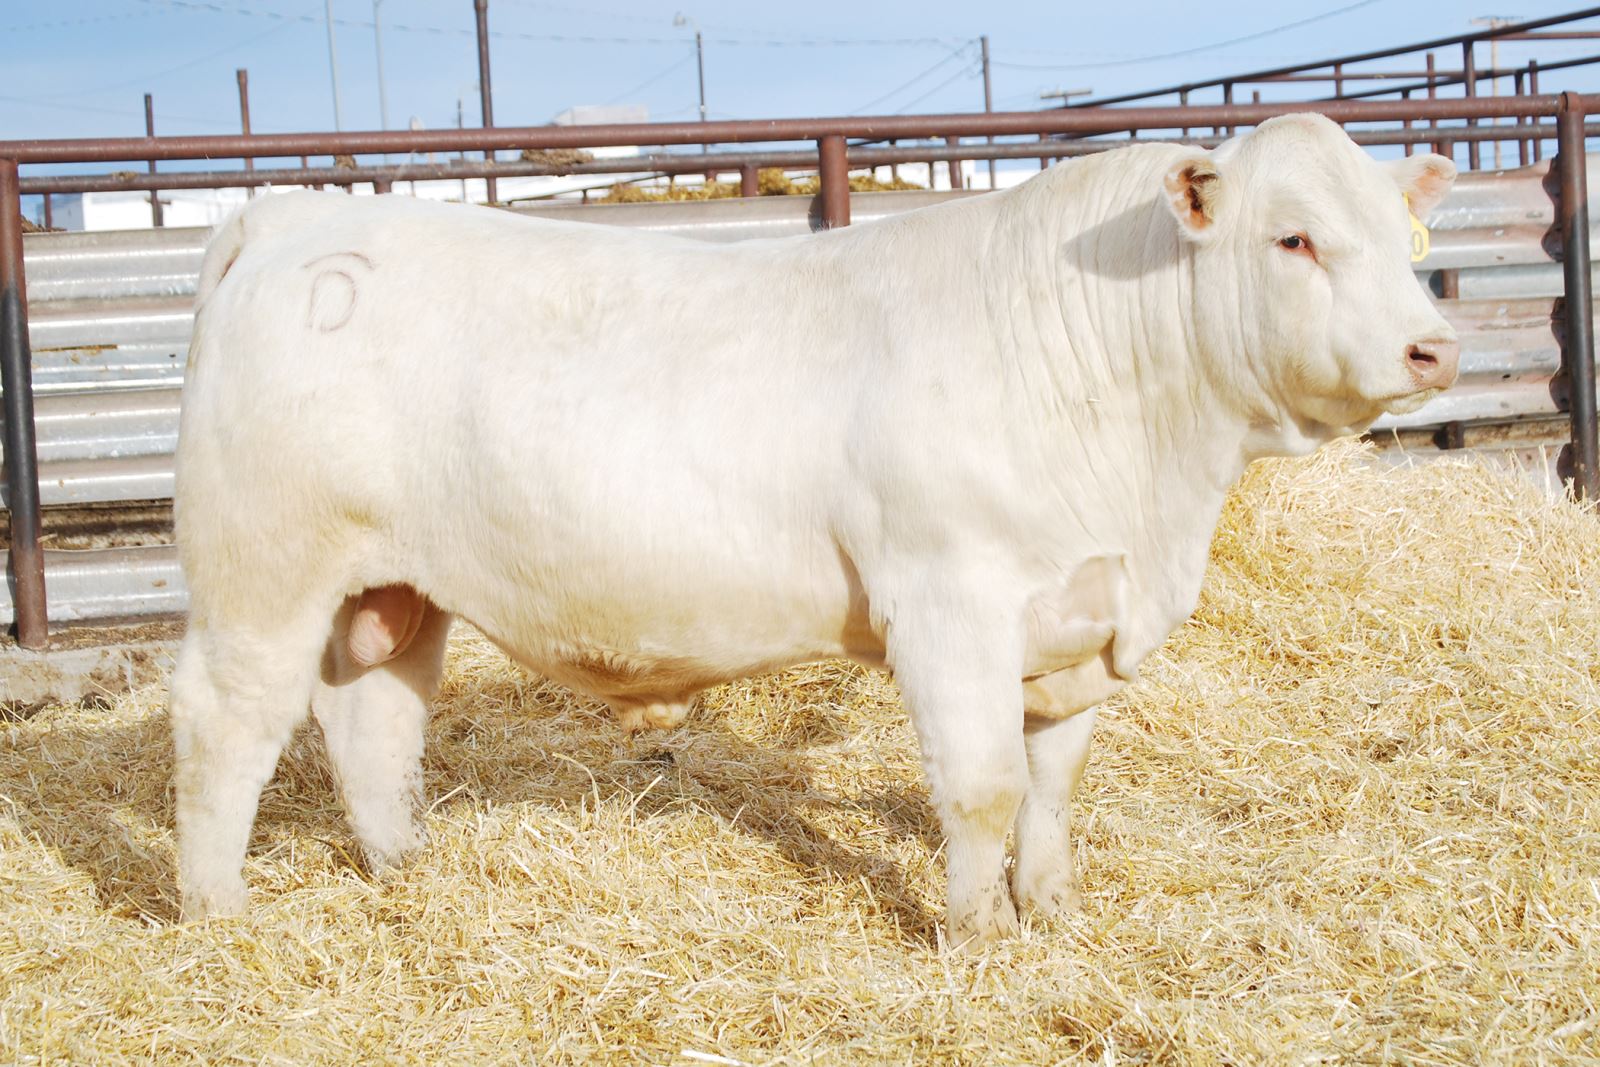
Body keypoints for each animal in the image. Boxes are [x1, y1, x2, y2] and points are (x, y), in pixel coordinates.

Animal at [168, 116, 1459, 947]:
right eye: (1292, 237)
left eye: (1406, 238)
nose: (1431, 346)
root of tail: (284, 217)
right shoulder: (949, 601)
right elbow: (982, 785)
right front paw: (976, 936)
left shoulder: (1080, 609)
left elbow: (1049, 782)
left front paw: (1051, 912)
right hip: (260, 571)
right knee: (228, 724)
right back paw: (216, 913)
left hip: (390, 584)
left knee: (369, 720)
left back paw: (406, 867)